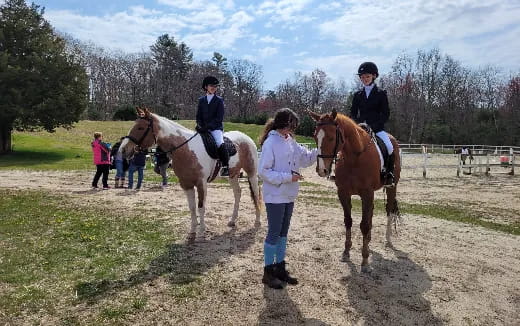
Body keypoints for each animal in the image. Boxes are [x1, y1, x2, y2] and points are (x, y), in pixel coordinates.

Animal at [120, 108, 262, 241]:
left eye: (140, 127)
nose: (123, 150)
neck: (185, 149)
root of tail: (245, 137)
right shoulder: (186, 184)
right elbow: (192, 208)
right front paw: (192, 232)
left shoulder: (201, 184)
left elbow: (201, 207)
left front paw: (201, 232)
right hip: (232, 175)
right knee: (237, 193)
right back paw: (232, 221)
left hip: (251, 173)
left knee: (255, 193)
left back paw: (257, 222)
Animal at [308, 109, 402, 272]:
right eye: (315, 136)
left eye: (332, 138)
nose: (322, 170)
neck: (354, 157)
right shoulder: (343, 193)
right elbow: (348, 221)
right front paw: (346, 252)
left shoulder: (367, 193)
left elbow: (363, 225)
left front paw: (364, 261)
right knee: (371, 212)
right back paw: (369, 240)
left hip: (392, 187)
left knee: (389, 210)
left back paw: (388, 239)